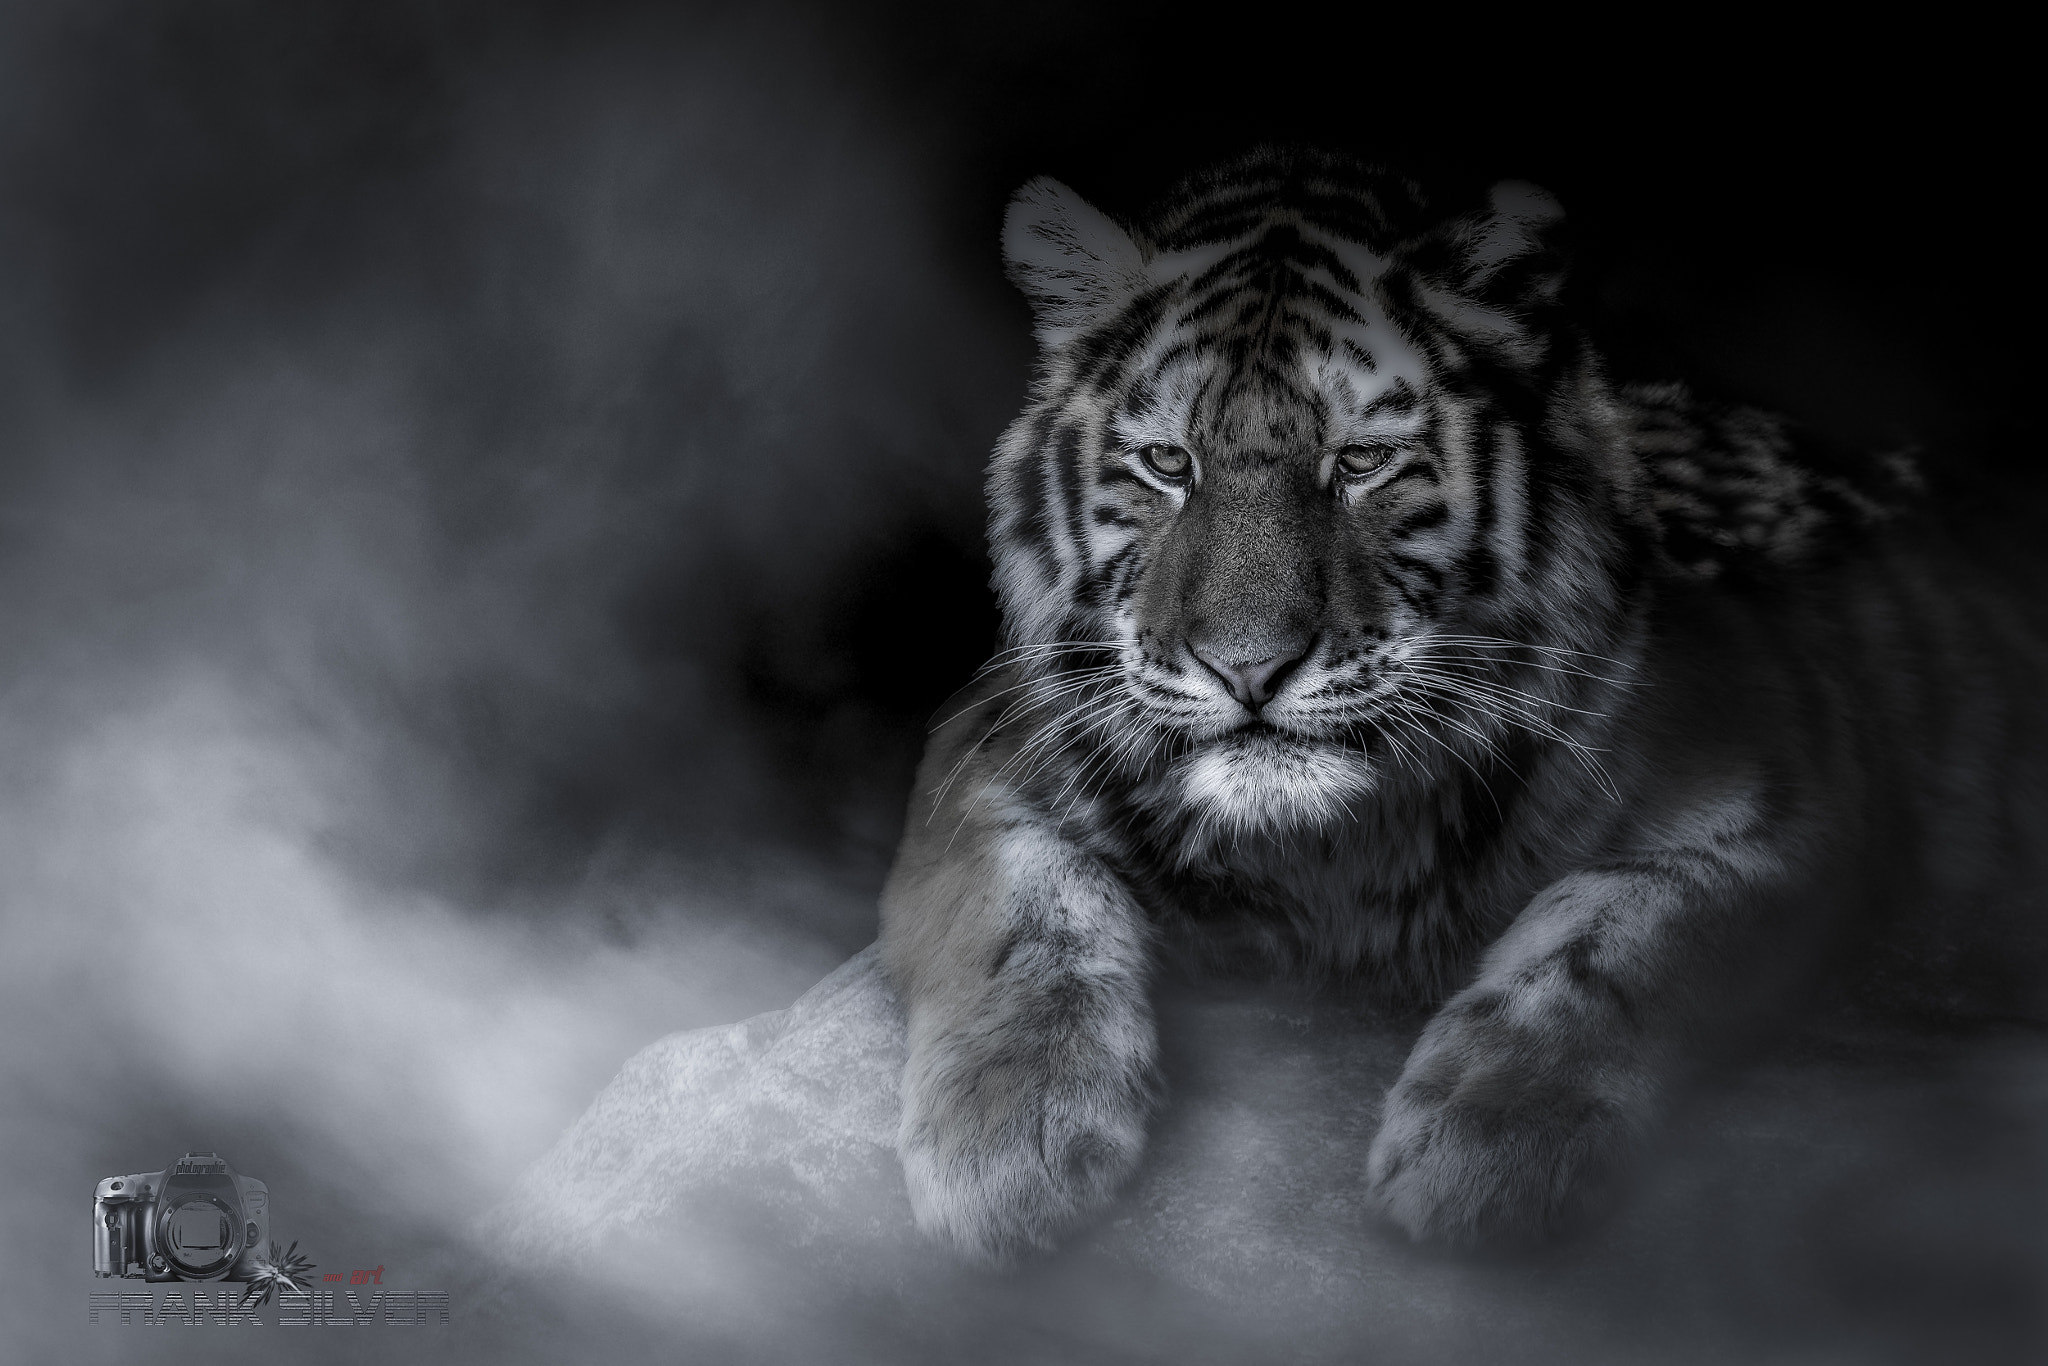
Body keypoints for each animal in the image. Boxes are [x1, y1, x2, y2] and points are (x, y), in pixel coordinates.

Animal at [877, 148, 2048, 1261]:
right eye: (1168, 462)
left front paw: (1483, 1139)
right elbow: (1019, 911)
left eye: (1361, 462)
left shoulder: (1780, 784)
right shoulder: (986, 751)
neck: (1319, 854)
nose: (1247, 669)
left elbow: (1613, 935)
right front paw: (1008, 1144)